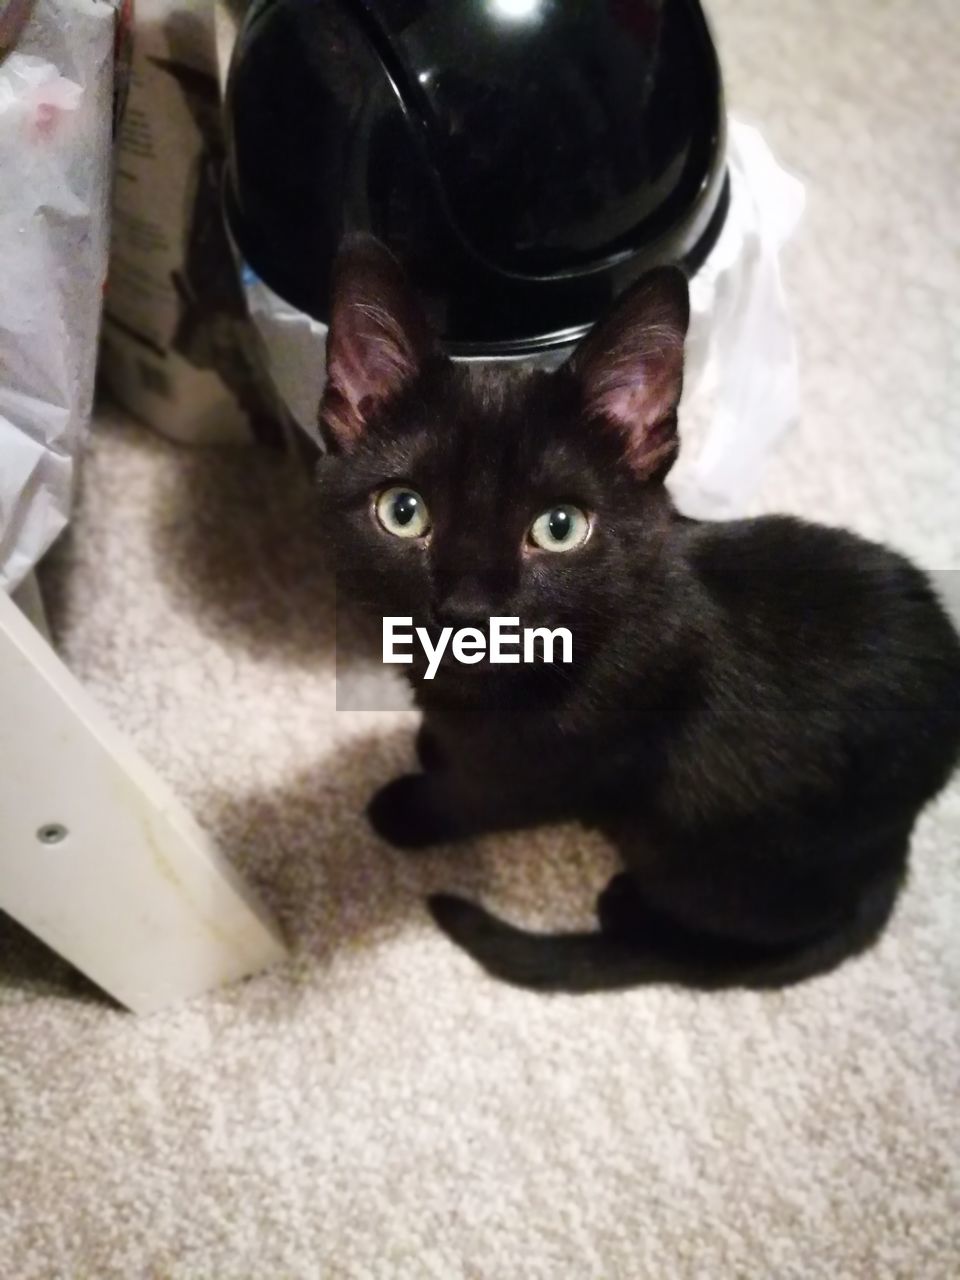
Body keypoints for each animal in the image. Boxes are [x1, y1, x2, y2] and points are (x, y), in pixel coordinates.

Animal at [317, 235, 960, 993]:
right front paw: (430, 743)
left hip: (710, 854)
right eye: (403, 511)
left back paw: (628, 908)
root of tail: (895, 851)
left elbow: (474, 797)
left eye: (559, 527)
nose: (469, 609)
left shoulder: (548, 771)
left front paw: (410, 807)